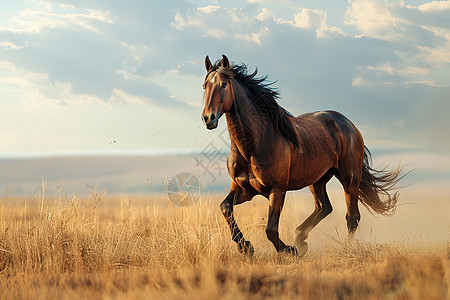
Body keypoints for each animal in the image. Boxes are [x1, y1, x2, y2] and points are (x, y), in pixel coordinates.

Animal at [201, 55, 404, 256]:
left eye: (223, 85)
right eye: (205, 86)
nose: (208, 118)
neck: (253, 146)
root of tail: (349, 125)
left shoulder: (277, 190)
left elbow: (271, 229)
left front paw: (289, 250)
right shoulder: (244, 188)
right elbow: (225, 207)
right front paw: (246, 247)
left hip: (349, 179)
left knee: (351, 216)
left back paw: (343, 248)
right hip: (318, 180)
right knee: (324, 207)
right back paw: (301, 238)